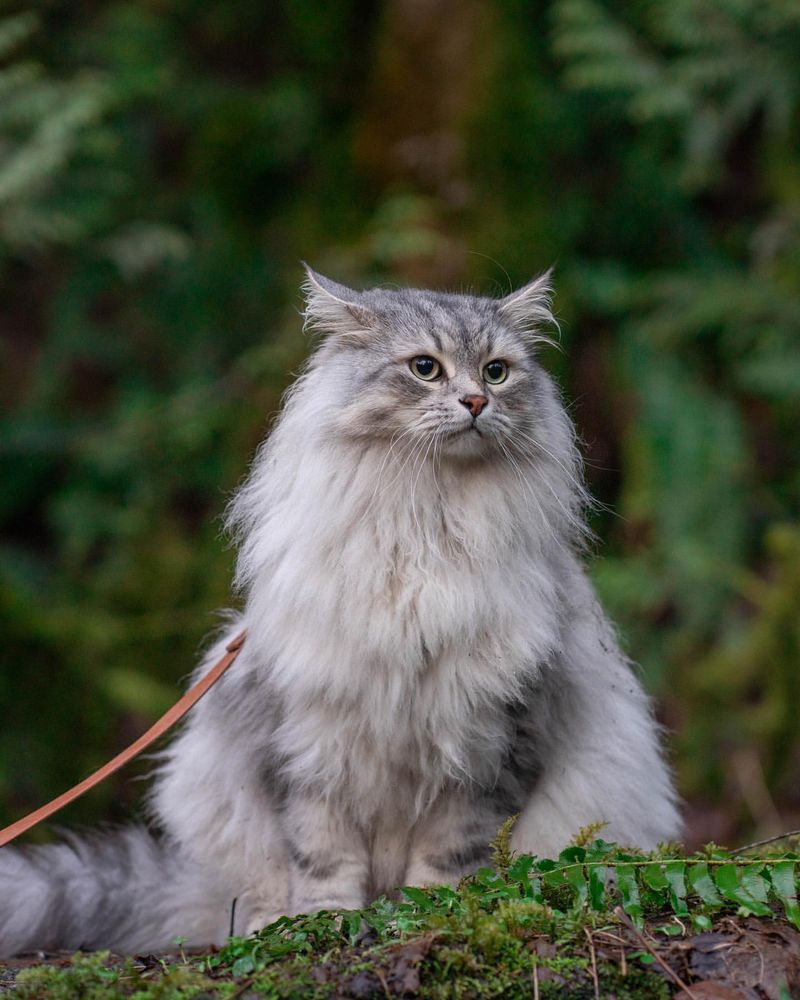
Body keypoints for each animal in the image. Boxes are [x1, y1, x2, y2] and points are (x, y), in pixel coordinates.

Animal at [0, 266, 680, 952]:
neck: (425, 523)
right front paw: (321, 922)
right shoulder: (310, 742)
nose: (475, 403)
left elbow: (453, 855)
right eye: (426, 368)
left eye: (496, 372)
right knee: (253, 893)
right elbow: (321, 855)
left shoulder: (489, 744)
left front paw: (440, 915)